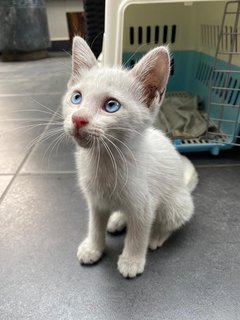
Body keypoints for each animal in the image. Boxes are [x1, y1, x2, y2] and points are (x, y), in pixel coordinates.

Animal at [62, 37, 199, 278]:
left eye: (111, 105)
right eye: (76, 97)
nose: (78, 119)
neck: (105, 161)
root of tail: (185, 186)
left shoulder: (144, 205)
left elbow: (138, 234)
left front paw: (131, 260)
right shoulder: (96, 201)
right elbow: (95, 225)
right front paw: (93, 247)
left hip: (175, 205)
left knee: (171, 222)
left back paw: (156, 236)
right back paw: (117, 220)